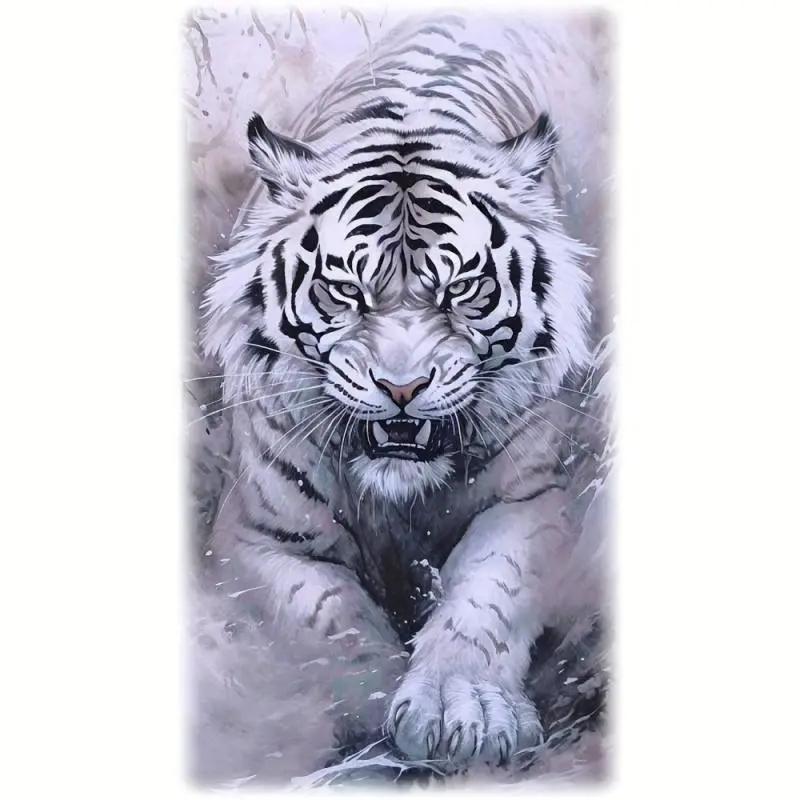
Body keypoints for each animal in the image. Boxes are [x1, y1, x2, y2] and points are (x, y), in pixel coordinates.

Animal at [198, 12, 610, 771]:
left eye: (462, 289)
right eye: (345, 290)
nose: (402, 386)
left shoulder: (533, 499)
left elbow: (487, 592)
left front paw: (462, 711)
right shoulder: (260, 535)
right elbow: (330, 619)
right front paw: (373, 716)